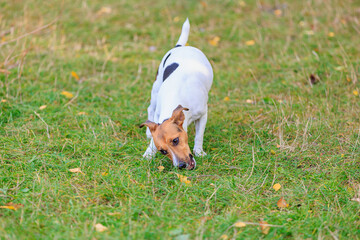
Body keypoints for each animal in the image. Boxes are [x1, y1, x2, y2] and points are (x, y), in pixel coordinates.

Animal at [140, 18, 214, 170]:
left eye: (175, 140)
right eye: (163, 151)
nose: (181, 165)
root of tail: (180, 46)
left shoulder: (203, 114)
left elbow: (199, 135)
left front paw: (199, 151)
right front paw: (149, 152)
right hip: (156, 89)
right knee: (150, 108)